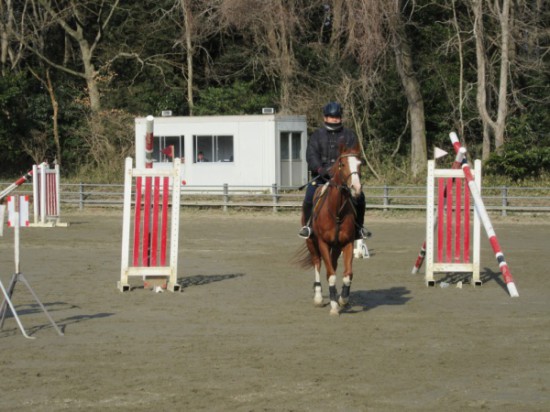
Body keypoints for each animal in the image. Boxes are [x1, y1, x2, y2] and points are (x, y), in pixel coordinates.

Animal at [298, 142, 362, 316]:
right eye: (342, 164)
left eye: (359, 164)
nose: (356, 187)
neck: (337, 211)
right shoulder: (323, 244)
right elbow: (331, 275)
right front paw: (334, 306)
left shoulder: (347, 243)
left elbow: (347, 274)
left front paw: (343, 299)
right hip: (312, 244)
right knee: (317, 264)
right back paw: (319, 297)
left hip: (336, 247)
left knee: (332, 265)